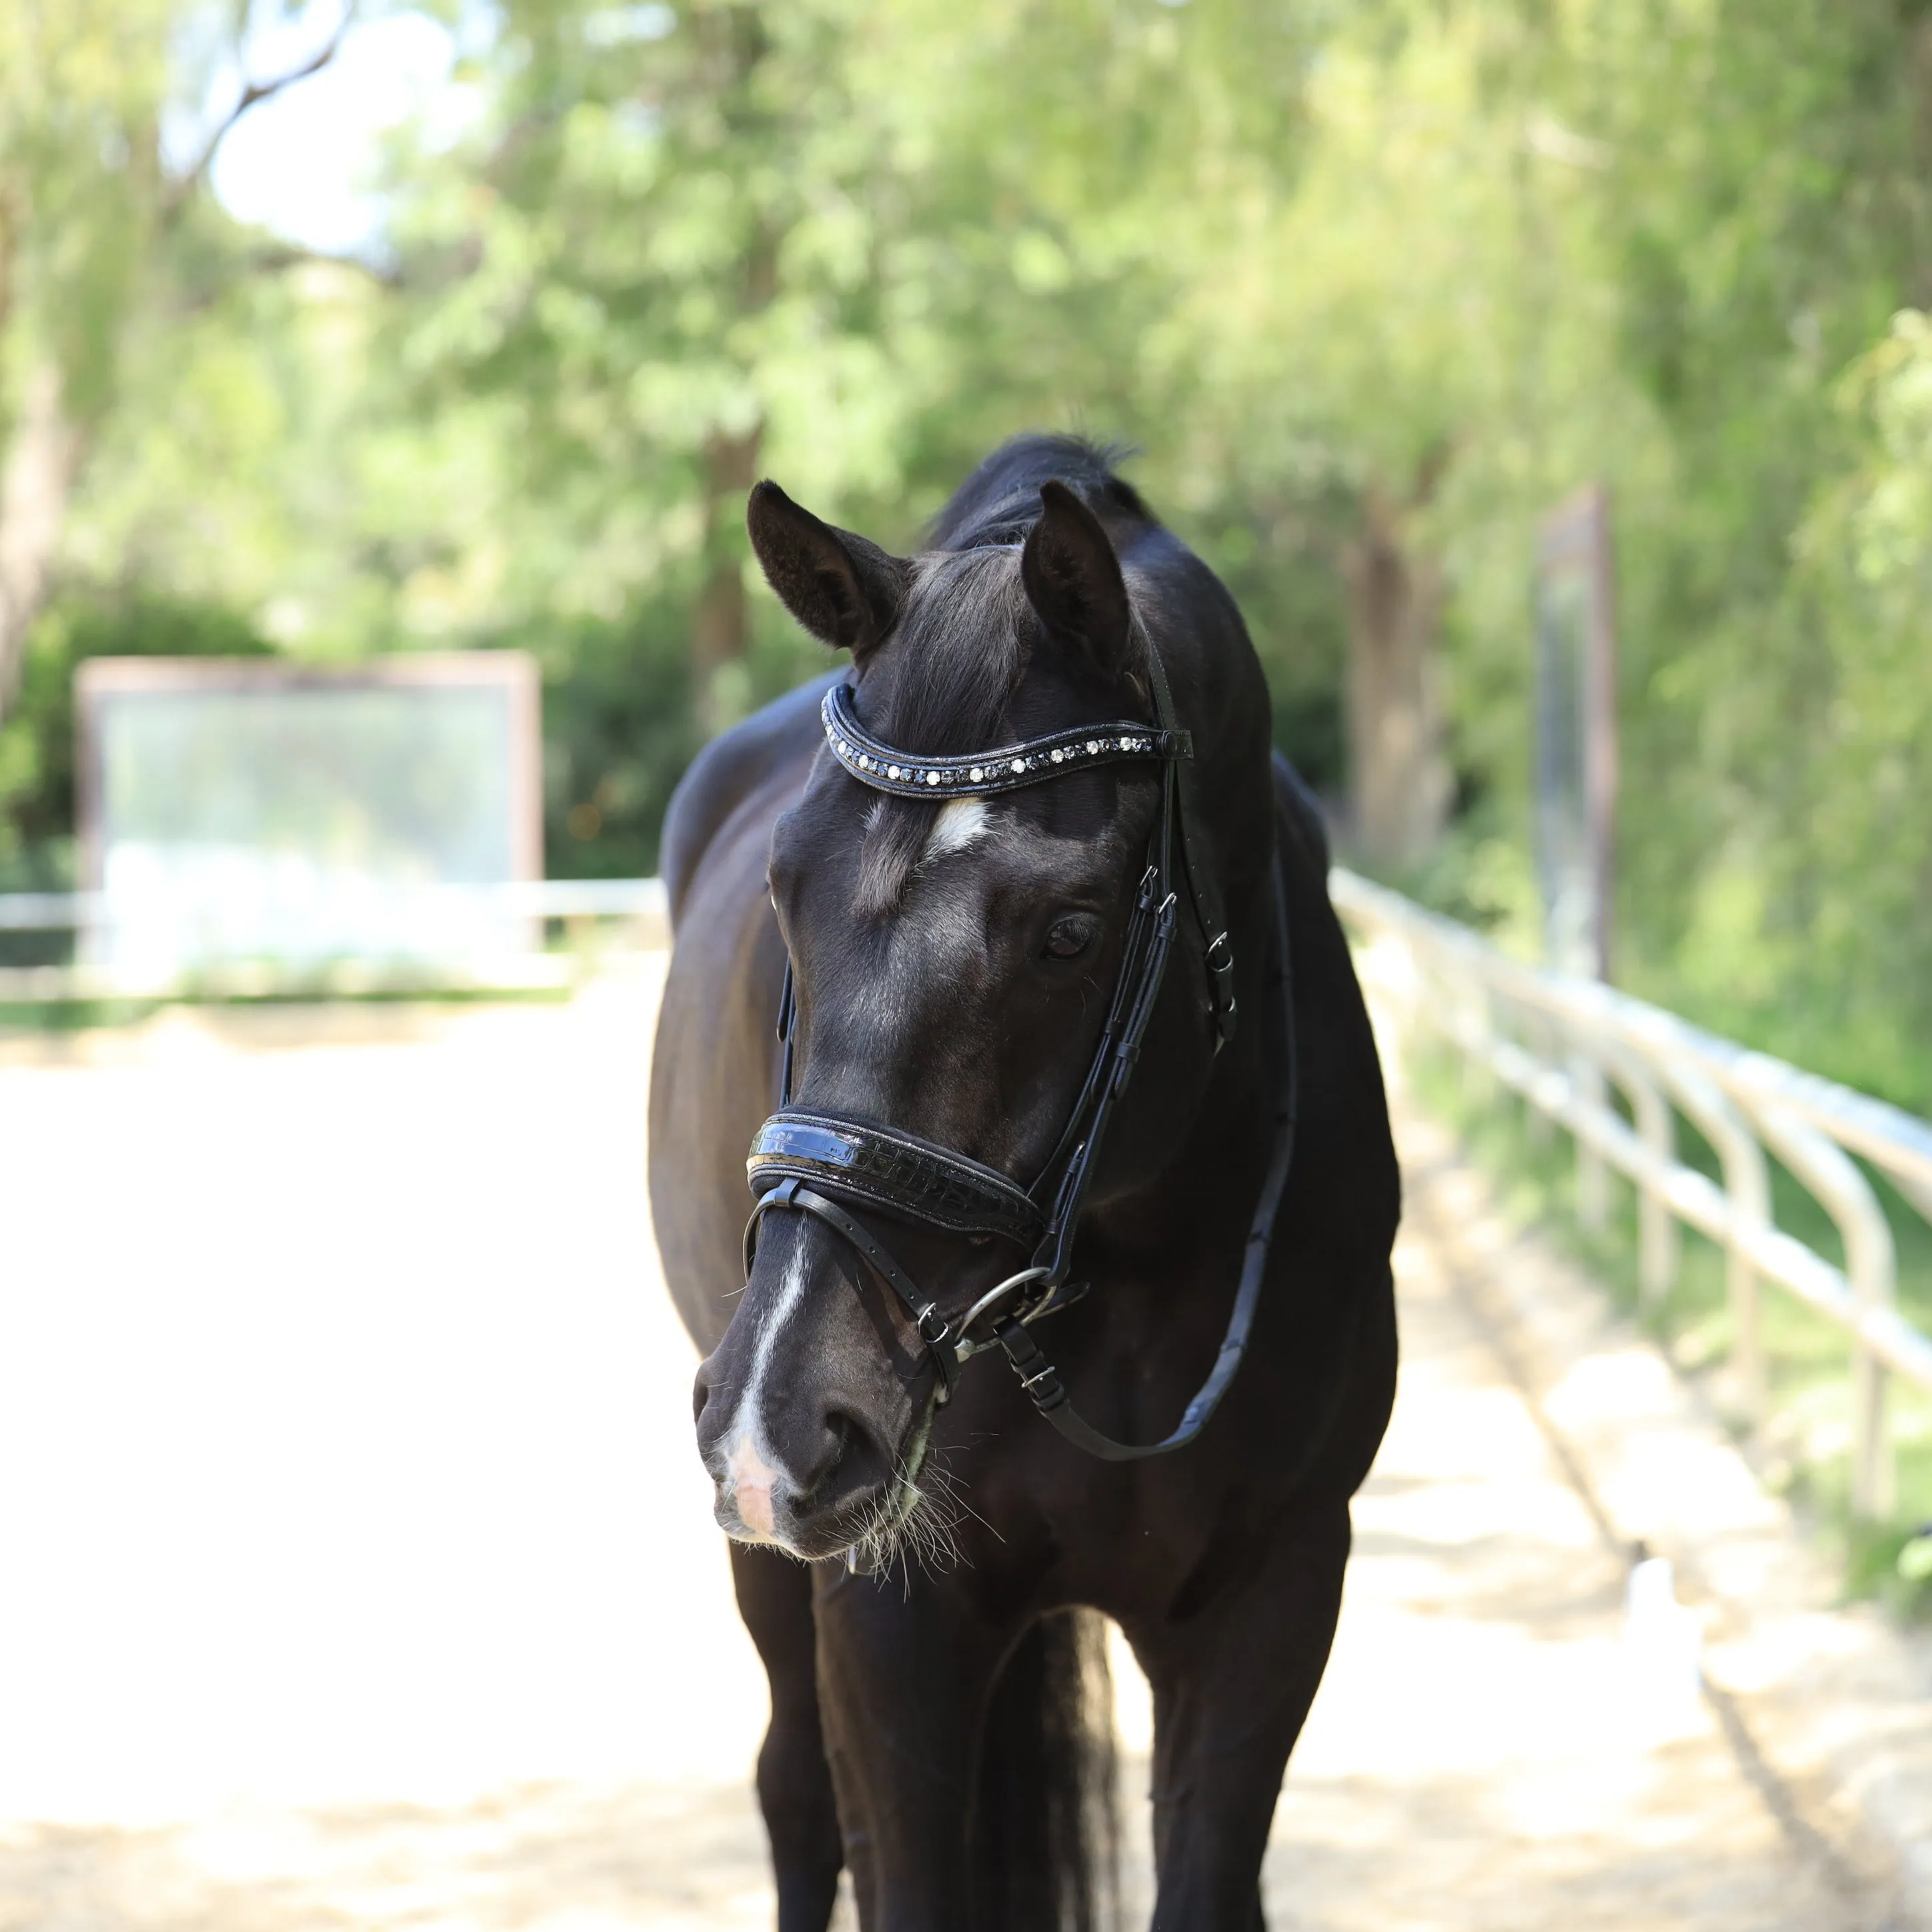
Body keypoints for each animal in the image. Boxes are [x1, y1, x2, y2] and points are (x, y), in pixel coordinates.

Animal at [656, 438, 1398, 1932]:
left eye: (1069, 927)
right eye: (782, 890)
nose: (784, 1410)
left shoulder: (1278, 1587)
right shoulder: (886, 1611)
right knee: (791, 1793)